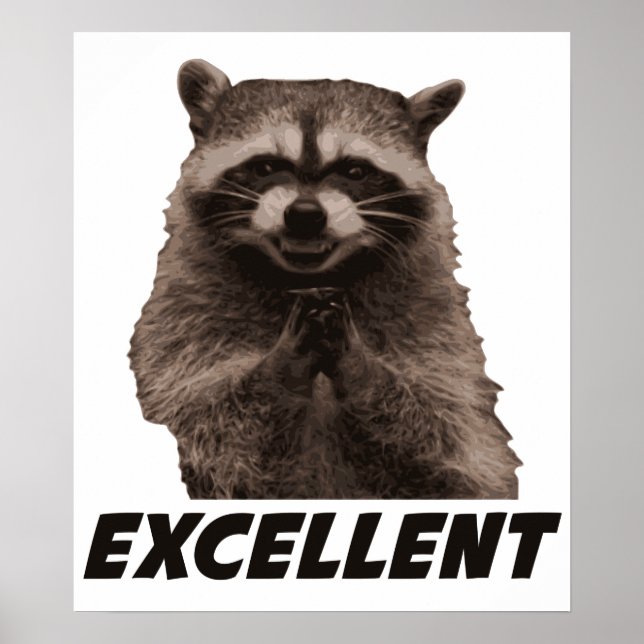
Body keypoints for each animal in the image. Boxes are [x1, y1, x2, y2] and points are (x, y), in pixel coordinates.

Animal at [129, 59, 521, 499]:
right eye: (265, 166)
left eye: (355, 170)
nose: (305, 215)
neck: (299, 278)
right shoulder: (182, 317)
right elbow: (206, 427)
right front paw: (280, 369)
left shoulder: (436, 323)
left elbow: (458, 449)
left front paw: (362, 366)